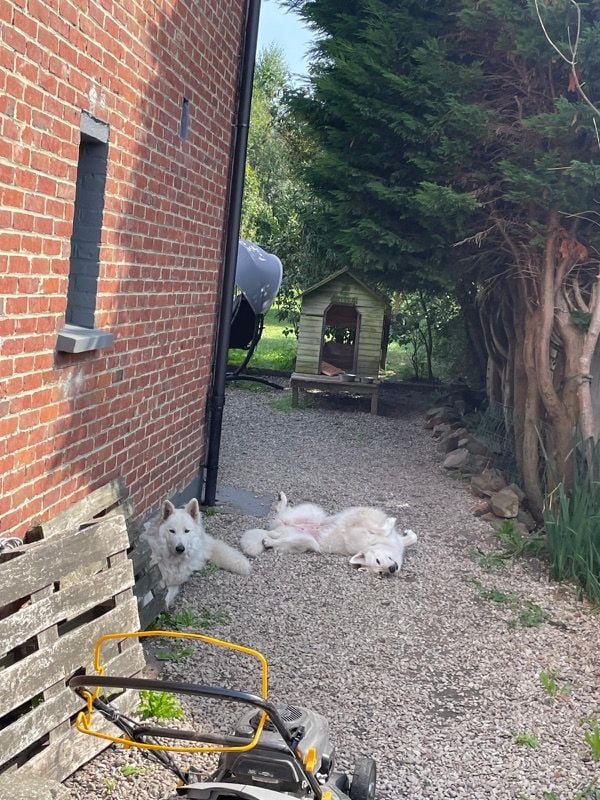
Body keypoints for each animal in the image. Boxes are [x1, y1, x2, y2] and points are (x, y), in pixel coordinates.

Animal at [240, 492, 417, 576]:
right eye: (378, 562)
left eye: (381, 572)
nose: (392, 569)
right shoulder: (359, 523)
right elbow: (381, 527)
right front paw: (391, 522)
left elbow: (412, 538)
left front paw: (407, 533)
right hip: (311, 514)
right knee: (281, 514)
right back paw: (281, 501)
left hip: (305, 539)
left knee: (280, 535)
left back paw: (269, 539)